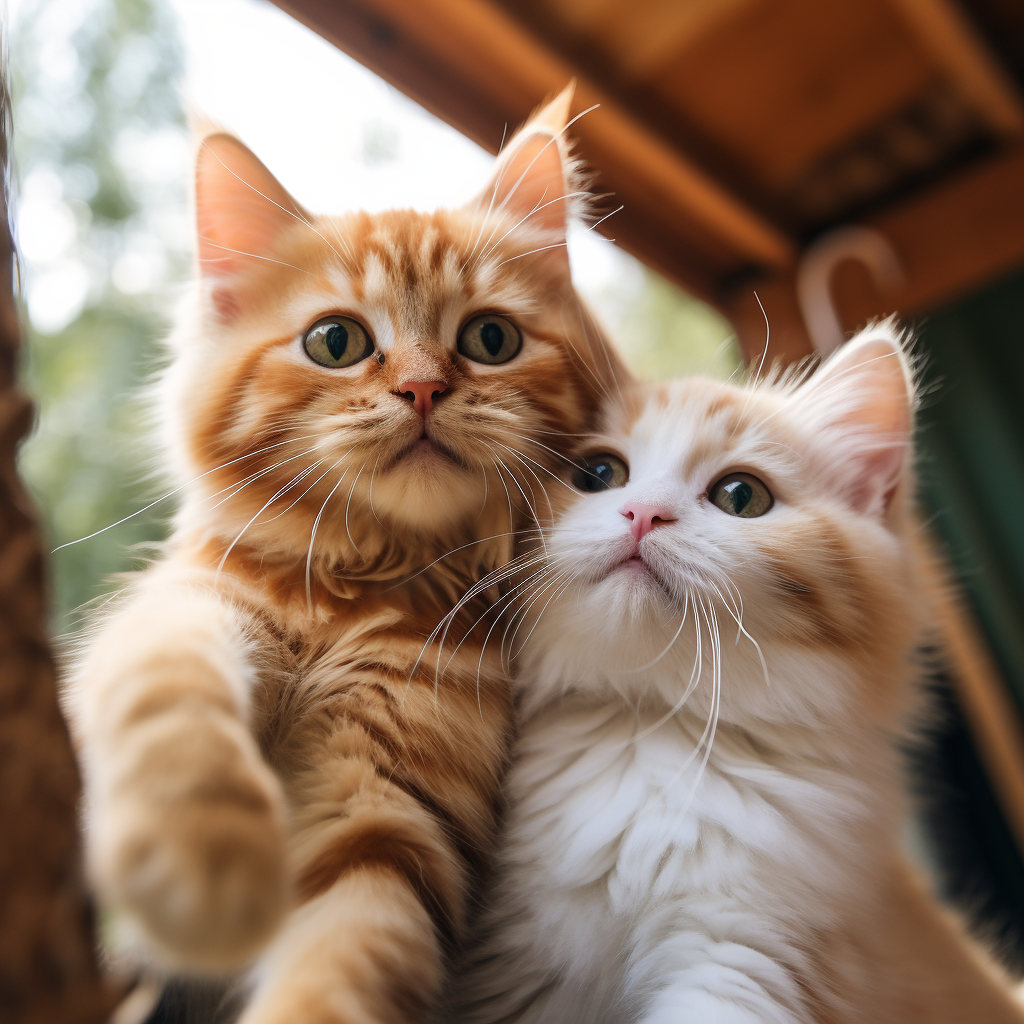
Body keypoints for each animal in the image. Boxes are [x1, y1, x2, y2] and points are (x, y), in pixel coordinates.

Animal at [68, 90, 626, 1024]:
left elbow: (344, 963)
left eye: (490, 339)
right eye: (337, 342)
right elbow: (174, 699)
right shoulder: (185, 607)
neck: (361, 587)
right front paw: (204, 856)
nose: (424, 388)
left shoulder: (387, 812)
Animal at [450, 325, 1024, 1024]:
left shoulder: (755, 946)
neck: (650, 730)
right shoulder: (525, 967)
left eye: (741, 496)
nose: (642, 513)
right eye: (599, 474)